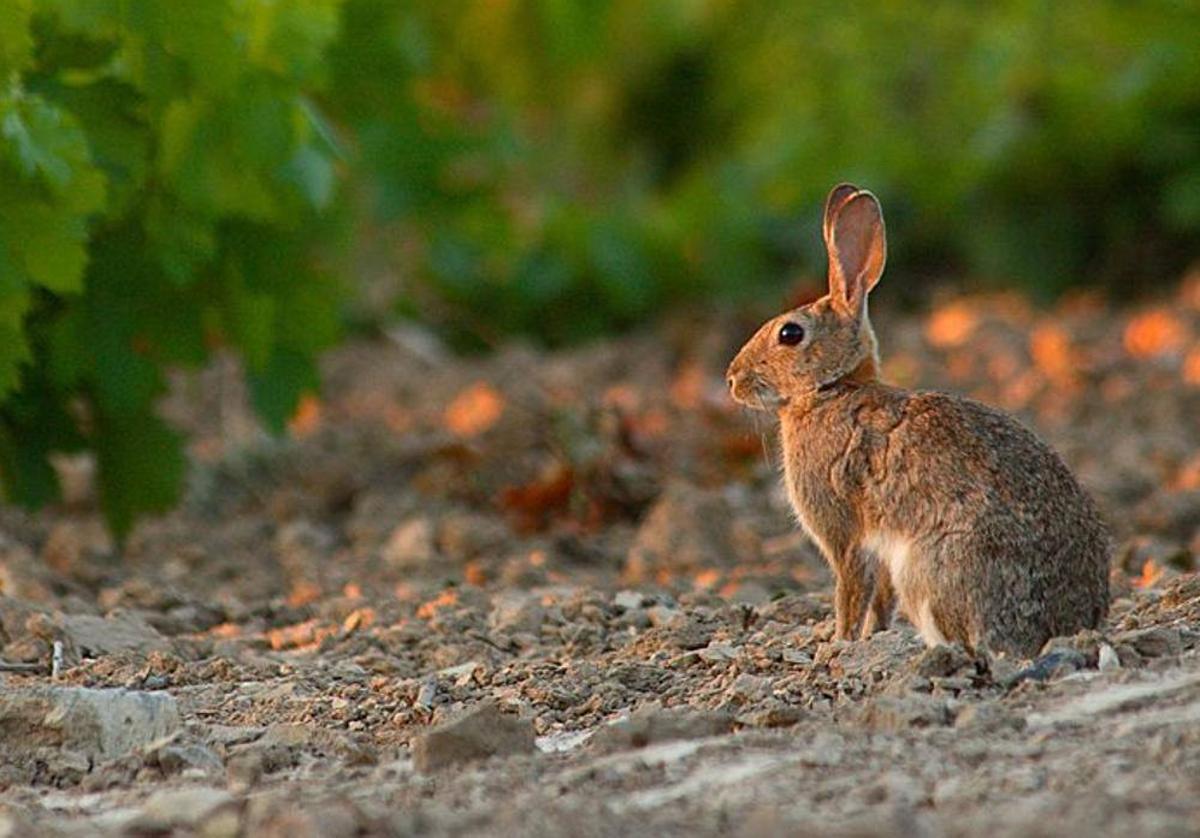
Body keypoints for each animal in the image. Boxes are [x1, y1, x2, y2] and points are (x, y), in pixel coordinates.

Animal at [724, 181, 1108, 653]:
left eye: (790, 334)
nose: (732, 379)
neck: (833, 390)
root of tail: (1069, 625)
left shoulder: (843, 534)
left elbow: (851, 590)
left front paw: (840, 643)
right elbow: (879, 599)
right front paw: (870, 637)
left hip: (929, 568)